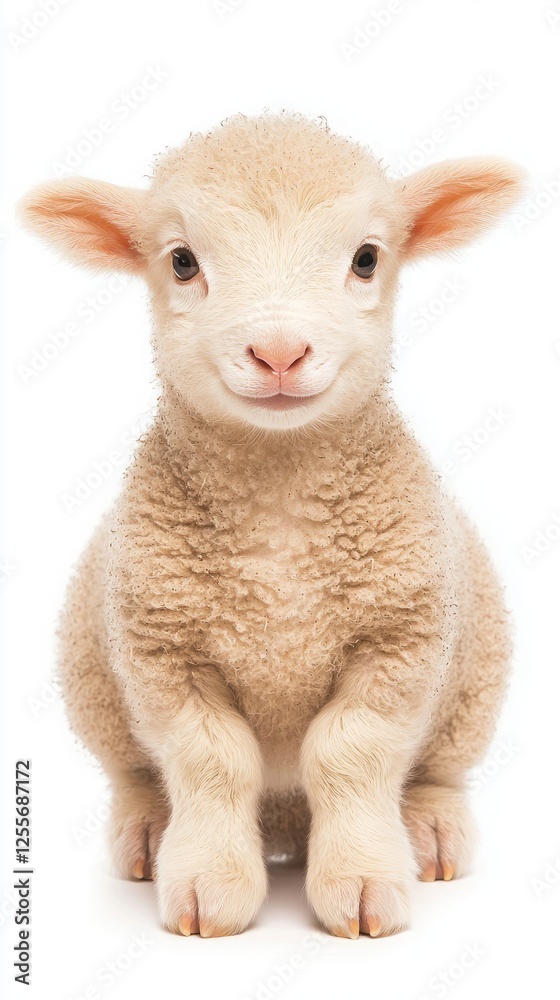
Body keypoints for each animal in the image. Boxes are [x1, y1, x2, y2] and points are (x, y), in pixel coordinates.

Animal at [19, 112, 524, 939]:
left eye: (366, 258)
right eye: (182, 261)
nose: (280, 351)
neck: (280, 512)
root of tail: (286, 825)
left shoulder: (401, 640)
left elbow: (348, 753)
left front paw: (361, 882)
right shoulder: (162, 653)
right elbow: (211, 760)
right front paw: (207, 885)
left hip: (473, 683)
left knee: (438, 770)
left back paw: (429, 831)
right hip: (94, 680)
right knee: (136, 773)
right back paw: (148, 832)